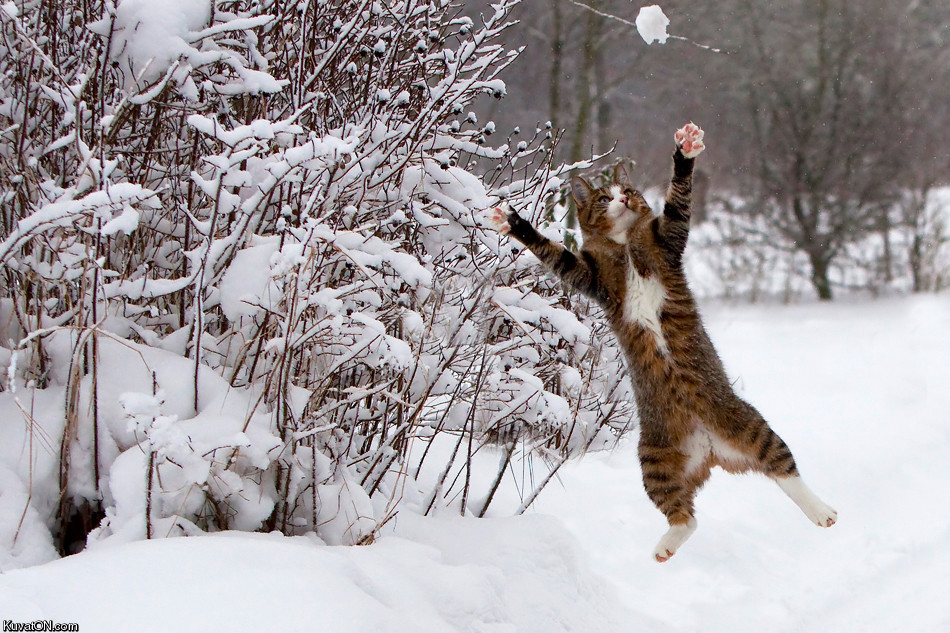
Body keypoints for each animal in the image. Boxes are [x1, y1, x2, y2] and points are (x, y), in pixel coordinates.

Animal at [484, 123, 836, 562]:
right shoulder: (590, 277)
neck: (625, 245)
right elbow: (554, 254)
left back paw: (822, 511)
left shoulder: (668, 240)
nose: (622, 198)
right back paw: (666, 546)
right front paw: (515, 223)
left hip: (749, 424)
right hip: (654, 462)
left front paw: (685, 150)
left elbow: (678, 202)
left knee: (786, 471)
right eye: (603, 198)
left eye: (627, 190)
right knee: (685, 516)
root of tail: (710, 450)